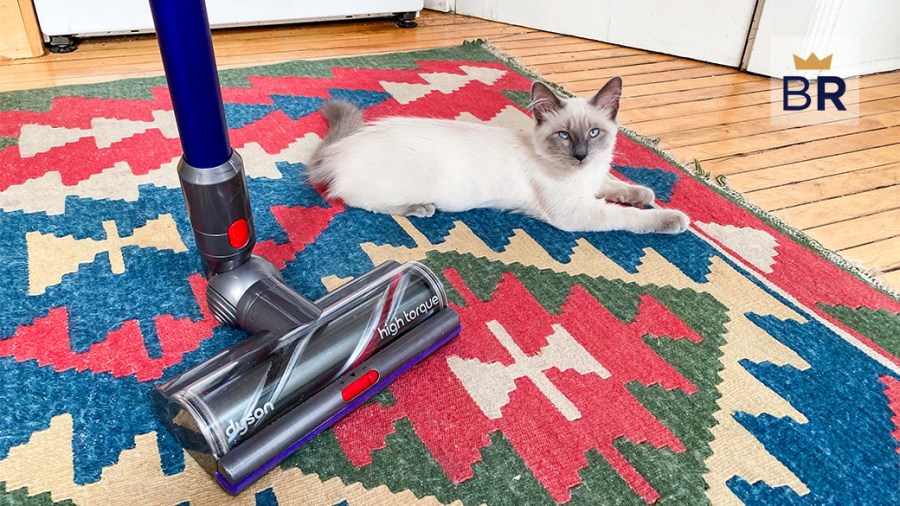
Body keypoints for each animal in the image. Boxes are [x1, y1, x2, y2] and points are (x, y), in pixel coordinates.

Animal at [308, 77, 688, 235]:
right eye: (564, 136)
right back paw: (421, 208)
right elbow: (628, 216)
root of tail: (345, 147)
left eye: (594, 134)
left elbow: (618, 185)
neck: (582, 174)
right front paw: (674, 219)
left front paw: (643, 194)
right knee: (359, 201)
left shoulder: (594, 181)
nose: (581, 156)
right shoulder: (575, 211)